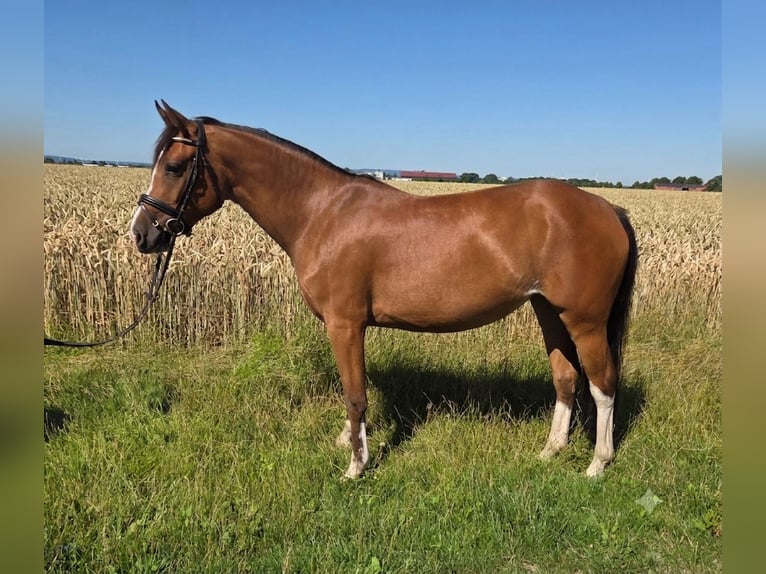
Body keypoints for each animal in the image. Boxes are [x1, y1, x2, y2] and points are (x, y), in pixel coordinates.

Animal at [130, 100, 638, 479]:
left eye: (174, 166)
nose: (141, 235)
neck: (321, 212)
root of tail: (607, 208)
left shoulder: (345, 324)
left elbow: (355, 393)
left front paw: (356, 466)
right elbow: (350, 389)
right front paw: (348, 441)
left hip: (585, 321)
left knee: (603, 384)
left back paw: (598, 464)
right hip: (548, 312)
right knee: (566, 379)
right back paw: (550, 451)